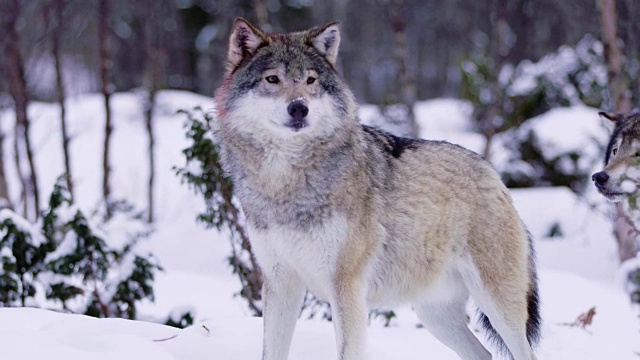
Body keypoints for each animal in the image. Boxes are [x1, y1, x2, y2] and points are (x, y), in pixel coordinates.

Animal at [211, 19, 540, 360]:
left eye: (311, 80)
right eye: (272, 79)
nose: (299, 108)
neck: (285, 182)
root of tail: (495, 176)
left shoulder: (346, 286)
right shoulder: (280, 284)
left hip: (498, 308)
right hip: (435, 316)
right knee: (485, 354)